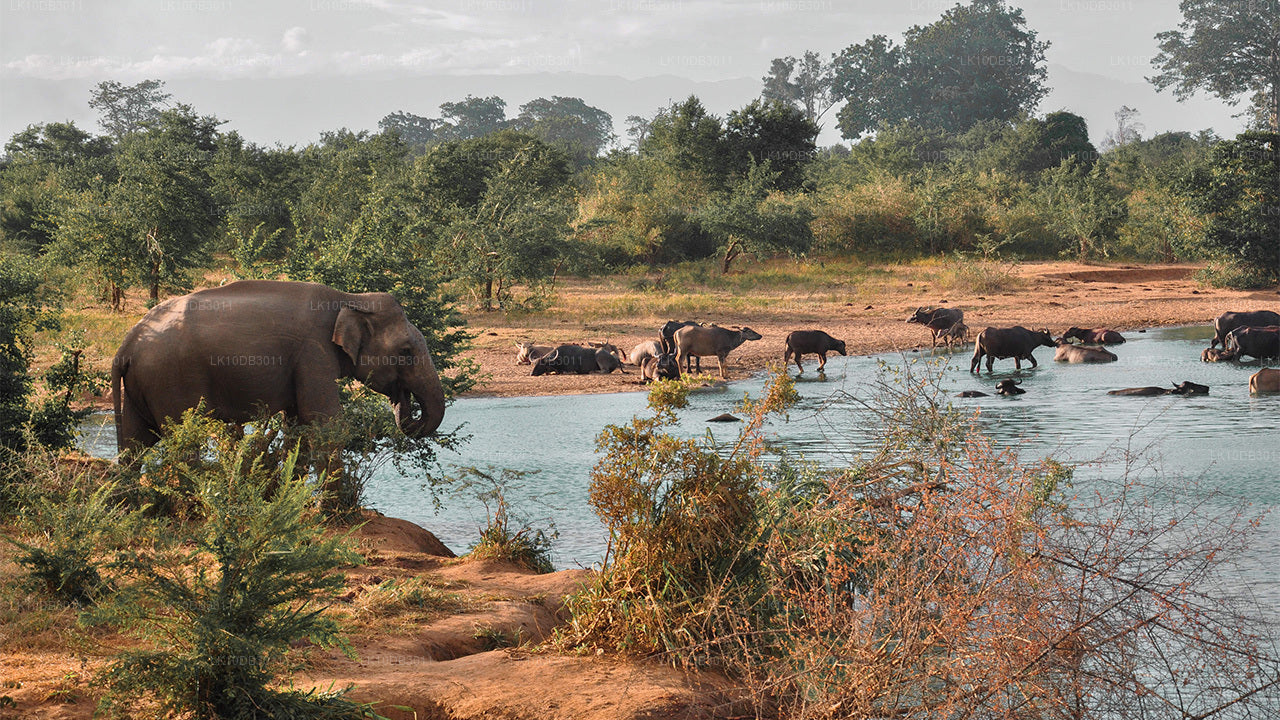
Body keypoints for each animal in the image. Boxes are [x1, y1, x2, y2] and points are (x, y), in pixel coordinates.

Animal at [111, 280, 450, 453]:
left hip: (142, 384)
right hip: (171, 380)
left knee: (135, 442)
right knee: (183, 437)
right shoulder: (313, 352)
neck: (350, 298)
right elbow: (324, 421)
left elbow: (298, 423)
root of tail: (127, 344)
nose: (405, 404)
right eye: (406, 352)